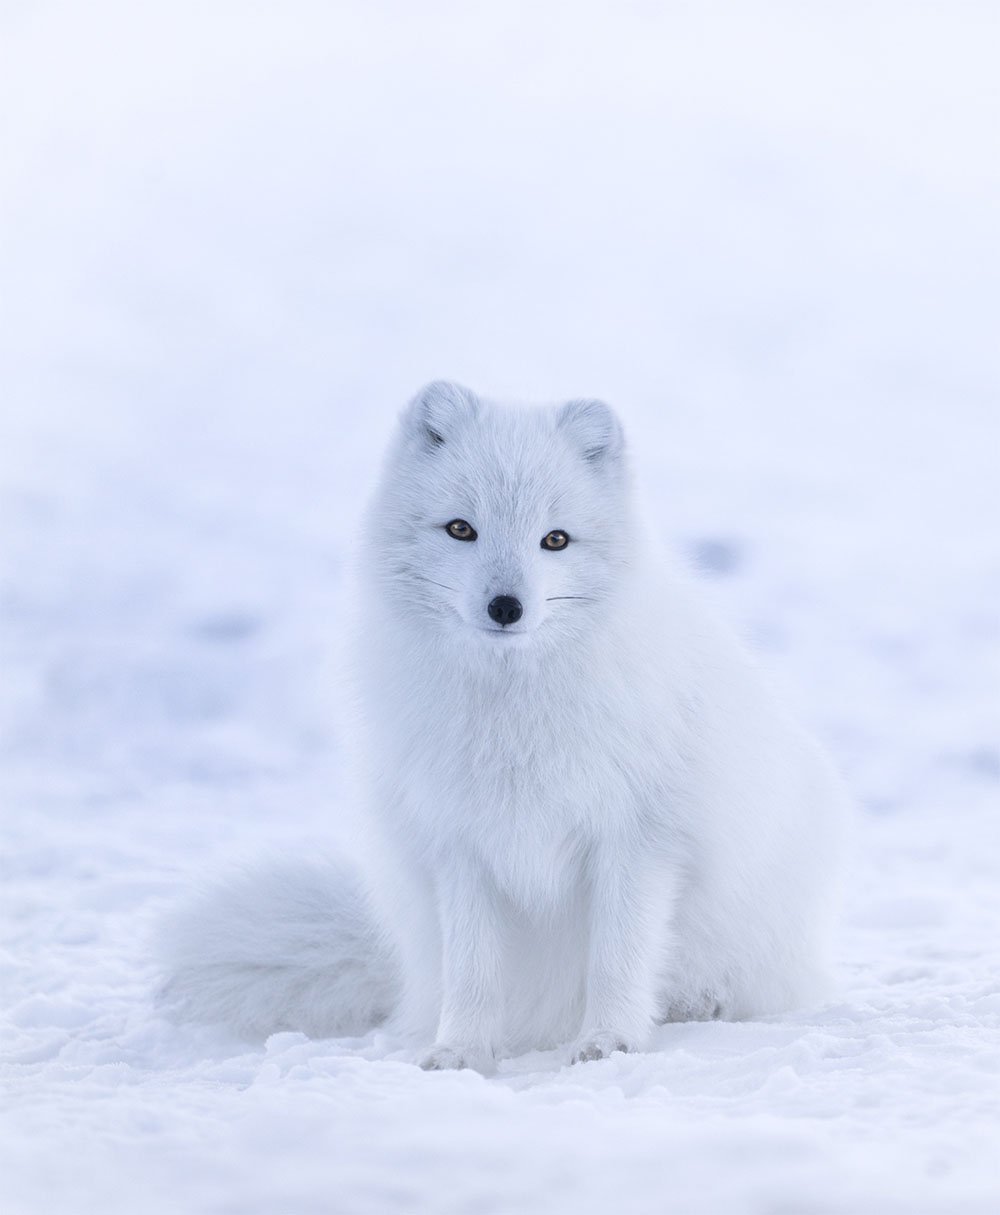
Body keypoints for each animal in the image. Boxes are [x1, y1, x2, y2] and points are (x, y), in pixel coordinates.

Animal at [162, 383, 845, 1069]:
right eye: (461, 528)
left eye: (556, 540)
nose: (506, 607)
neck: (513, 713)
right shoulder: (460, 844)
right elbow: (473, 971)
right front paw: (460, 1051)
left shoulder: (638, 839)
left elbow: (618, 958)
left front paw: (608, 1041)